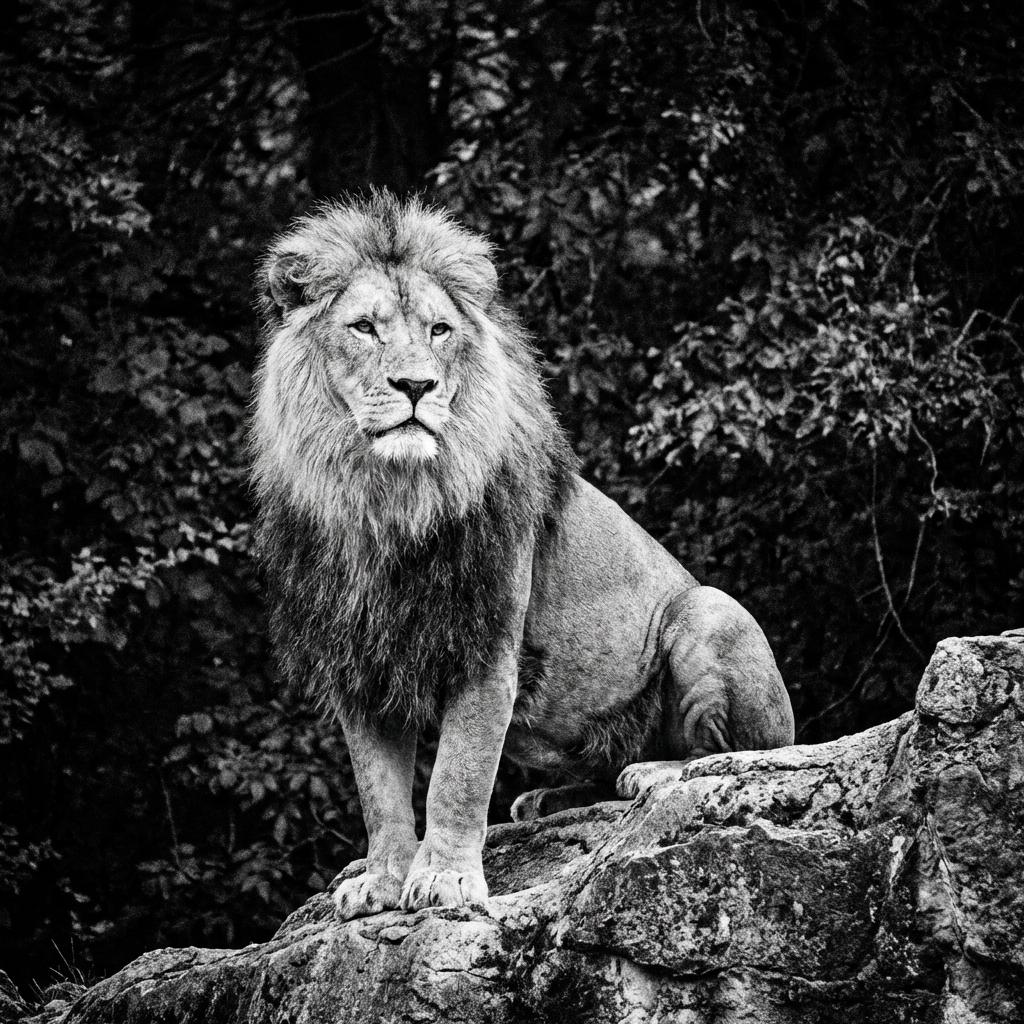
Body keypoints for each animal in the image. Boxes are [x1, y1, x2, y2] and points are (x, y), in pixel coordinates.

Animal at [252, 191, 794, 921]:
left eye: (440, 331)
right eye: (363, 328)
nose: (417, 386)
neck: (387, 502)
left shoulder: (486, 644)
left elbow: (458, 775)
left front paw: (445, 879)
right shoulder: (359, 661)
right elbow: (379, 791)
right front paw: (383, 880)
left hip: (709, 611)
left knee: (741, 755)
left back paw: (651, 773)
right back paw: (546, 798)